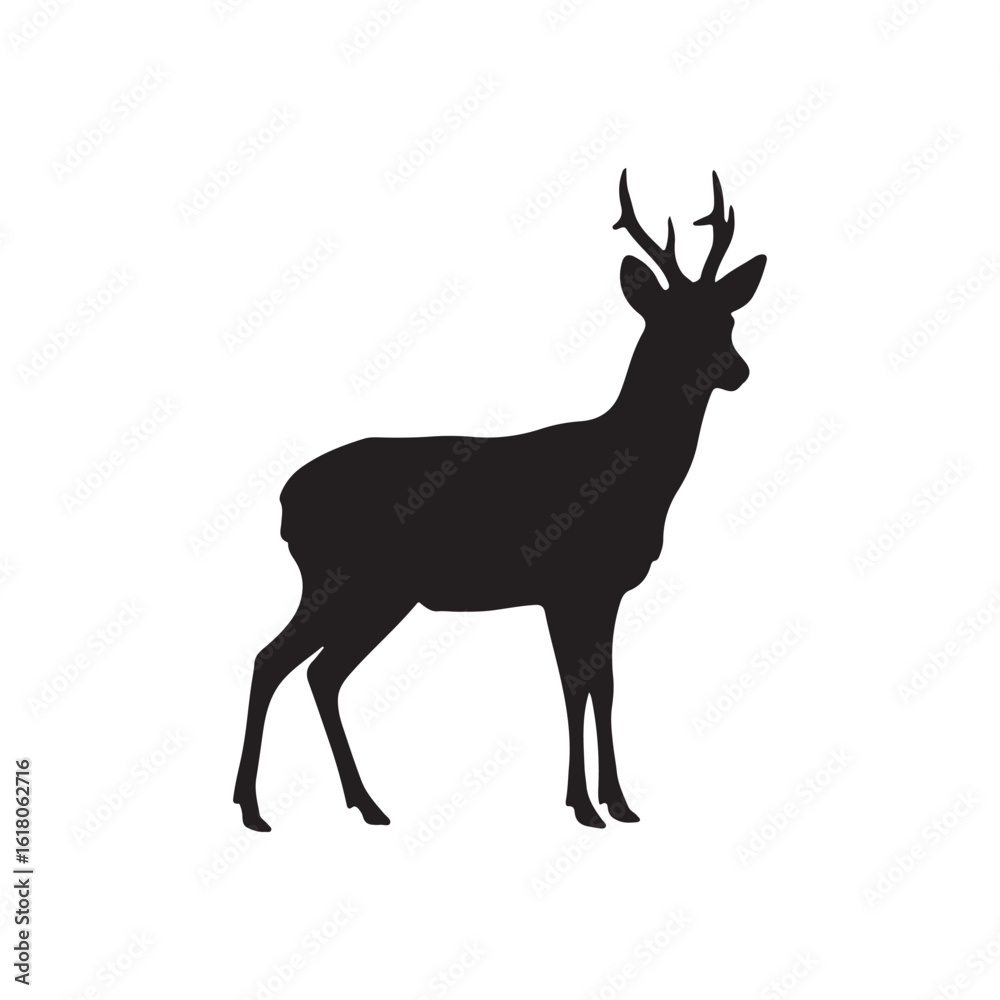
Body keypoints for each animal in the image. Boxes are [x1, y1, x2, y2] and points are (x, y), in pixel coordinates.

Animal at [234, 169, 767, 832]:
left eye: (727, 319)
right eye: (671, 322)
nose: (737, 370)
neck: (630, 476)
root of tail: (285, 500)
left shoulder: (605, 588)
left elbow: (605, 685)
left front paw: (618, 802)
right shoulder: (566, 583)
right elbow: (574, 686)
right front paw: (583, 805)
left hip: (379, 592)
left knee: (318, 672)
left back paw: (366, 804)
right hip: (347, 577)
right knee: (273, 660)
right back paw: (255, 808)